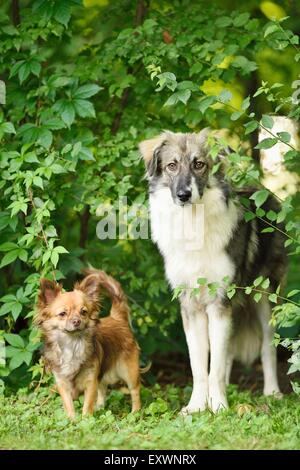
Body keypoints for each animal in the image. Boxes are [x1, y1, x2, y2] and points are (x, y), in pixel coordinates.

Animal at [35, 268, 142, 418]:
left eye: (83, 312)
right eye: (62, 314)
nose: (77, 321)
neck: (71, 344)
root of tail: (117, 318)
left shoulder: (90, 382)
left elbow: (87, 405)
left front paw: (86, 419)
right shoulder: (63, 383)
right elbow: (69, 405)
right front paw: (72, 420)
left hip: (128, 371)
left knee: (135, 390)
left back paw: (135, 412)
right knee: (103, 388)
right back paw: (100, 407)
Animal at [139, 129, 288, 412]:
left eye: (199, 164)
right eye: (172, 165)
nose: (184, 195)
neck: (193, 224)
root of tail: (267, 193)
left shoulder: (220, 301)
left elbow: (215, 366)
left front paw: (218, 406)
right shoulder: (191, 306)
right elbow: (200, 366)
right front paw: (197, 406)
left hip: (265, 297)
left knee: (268, 347)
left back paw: (273, 392)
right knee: (227, 353)